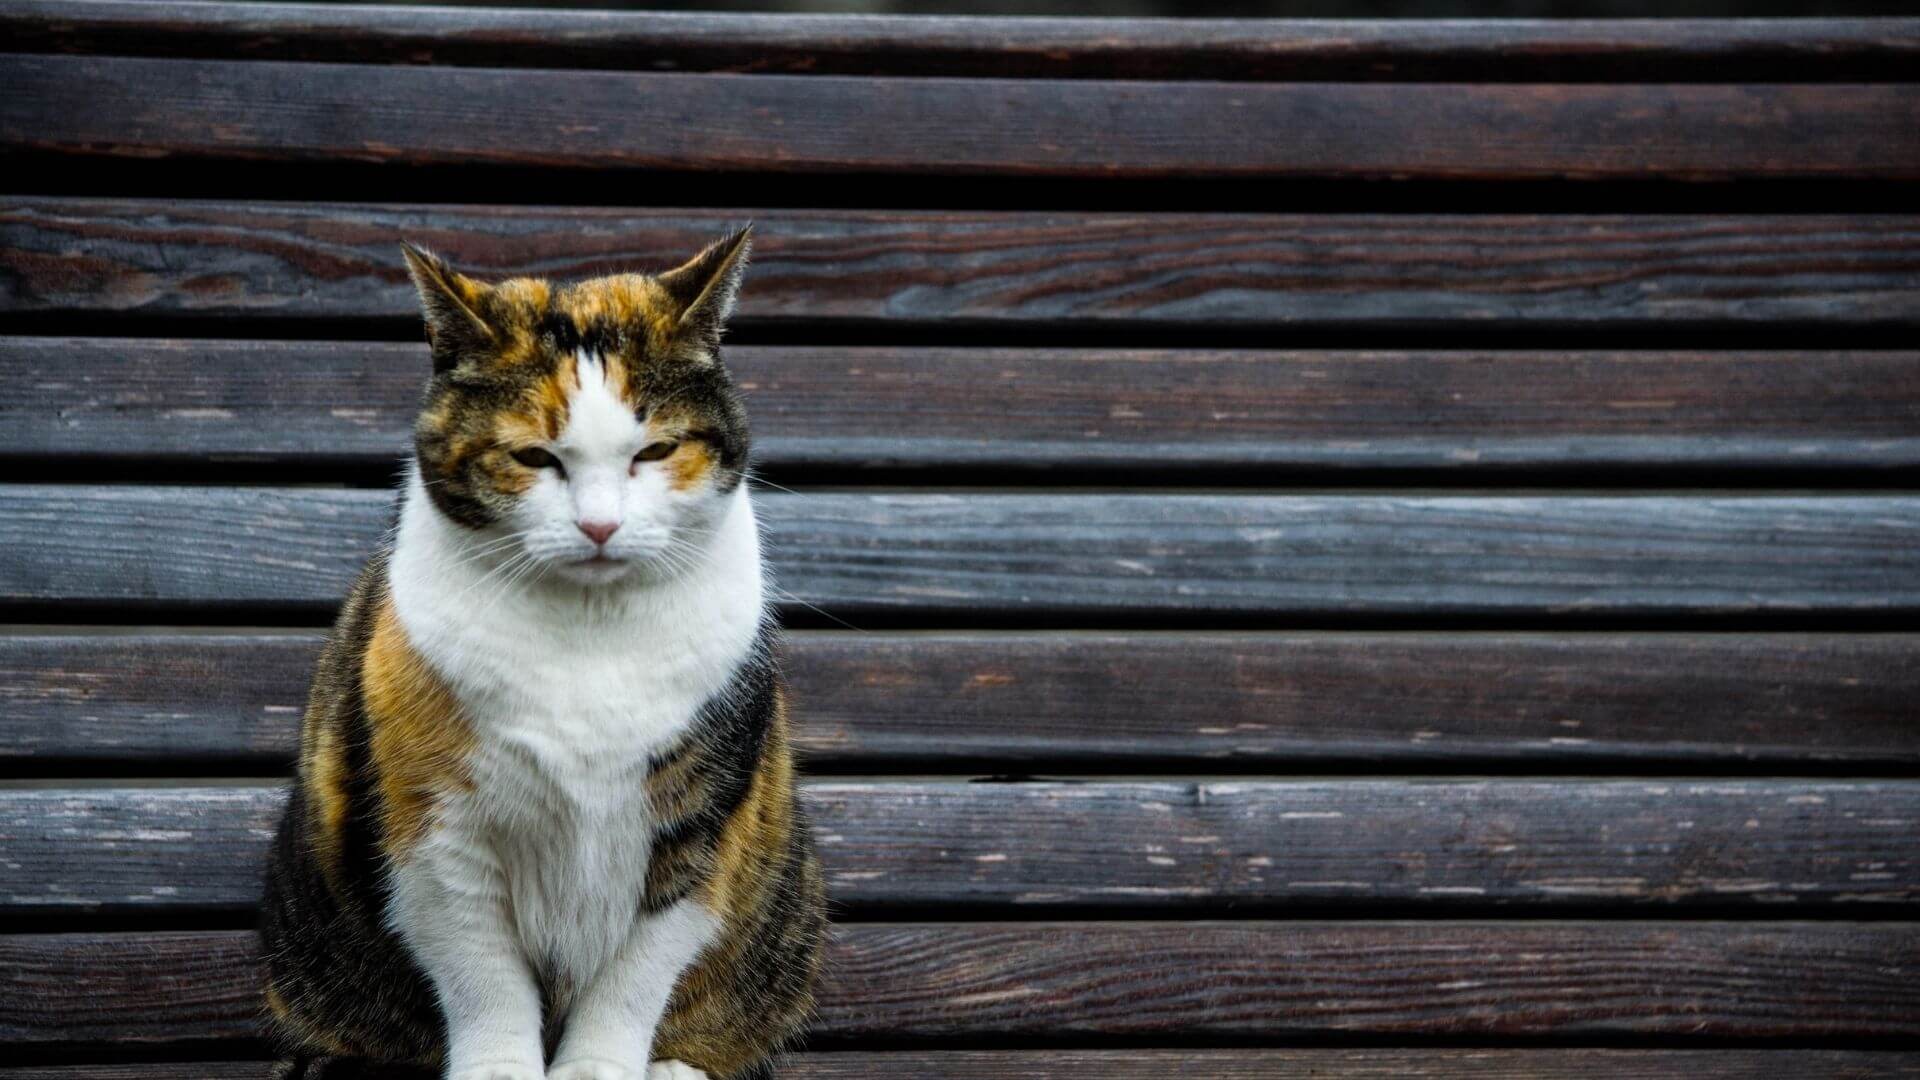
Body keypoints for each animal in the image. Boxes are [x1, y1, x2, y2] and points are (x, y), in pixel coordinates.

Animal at [261, 226, 825, 1076]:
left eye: (654, 452)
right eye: (534, 458)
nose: (599, 526)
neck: (588, 635)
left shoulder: (703, 829)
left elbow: (634, 979)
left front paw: (601, 1067)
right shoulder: (436, 832)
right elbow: (484, 978)